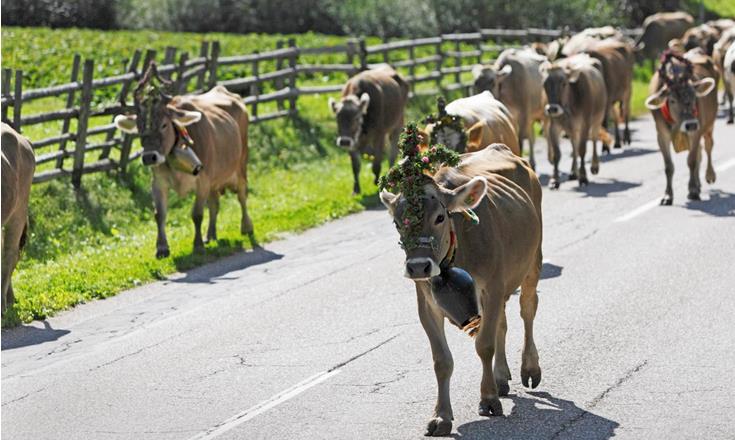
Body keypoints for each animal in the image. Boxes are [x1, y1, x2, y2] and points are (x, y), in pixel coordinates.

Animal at [112, 63, 254, 260]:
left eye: (164, 125)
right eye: (139, 128)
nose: (149, 157)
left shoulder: (203, 180)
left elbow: (197, 214)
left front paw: (198, 246)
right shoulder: (158, 182)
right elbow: (159, 214)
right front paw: (162, 248)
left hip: (241, 164)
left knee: (242, 195)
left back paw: (246, 227)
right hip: (215, 180)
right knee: (215, 204)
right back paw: (211, 234)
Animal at [382, 123, 544, 434]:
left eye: (440, 217)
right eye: (397, 222)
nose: (418, 267)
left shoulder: (491, 286)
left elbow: (484, 344)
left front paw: (489, 400)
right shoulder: (428, 303)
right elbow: (442, 360)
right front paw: (441, 416)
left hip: (533, 259)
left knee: (528, 309)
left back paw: (529, 368)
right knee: (503, 322)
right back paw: (502, 377)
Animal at [544, 53, 608, 187]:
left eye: (564, 83)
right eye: (545, 84)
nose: (552, 109)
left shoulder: (585, 124)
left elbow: (582, 150)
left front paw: (583, 177)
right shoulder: (554, 126)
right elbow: (557, 154)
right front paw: (554, 180)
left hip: (597, 119)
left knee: (594, 140)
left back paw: (594, 166)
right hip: (572, 128)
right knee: (574, 144)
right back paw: (573, 172)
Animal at [648, 49, 716, 205]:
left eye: (694, 97)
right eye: (672, 100)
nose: (690, 124)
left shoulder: (696, 131)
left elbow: (691, 161)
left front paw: (693, 191)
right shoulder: (661, 134)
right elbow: (668, 166)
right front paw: (667, 195)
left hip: (709, 124)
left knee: (708, 146)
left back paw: (709, 176)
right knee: (700, 153)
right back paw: (698, 183)